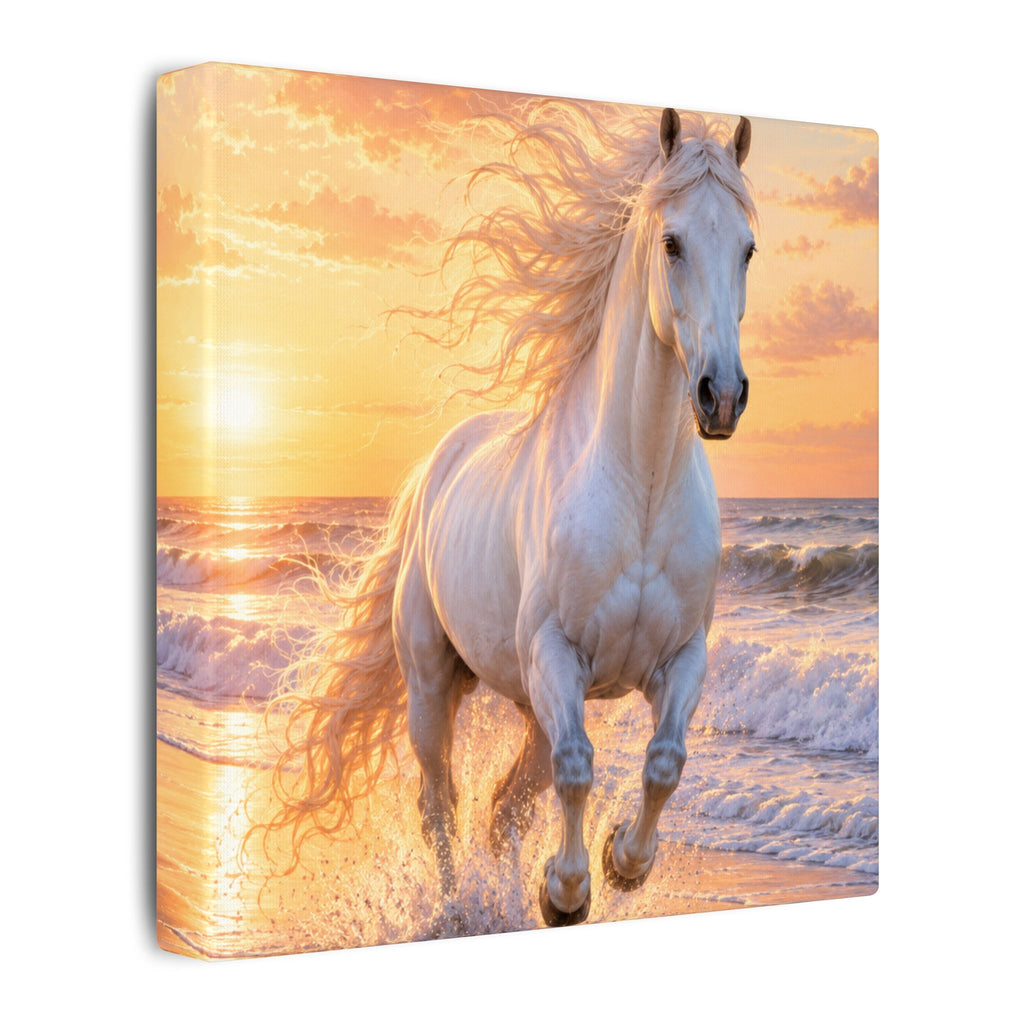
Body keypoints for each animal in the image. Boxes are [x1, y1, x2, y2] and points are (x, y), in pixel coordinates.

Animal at [263, 102, 757, 930]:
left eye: (749, 248)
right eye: (672, 241)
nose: (720, 396)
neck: (640, 491)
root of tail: (436, 467)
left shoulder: (680, 657)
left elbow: (663, 763)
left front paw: (622, 864)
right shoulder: (556, 655)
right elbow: (576, 770)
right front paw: (567, 890)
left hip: (527, 700)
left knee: (503, 808)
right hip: (435, 685)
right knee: (442, 803)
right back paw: (458, 906)